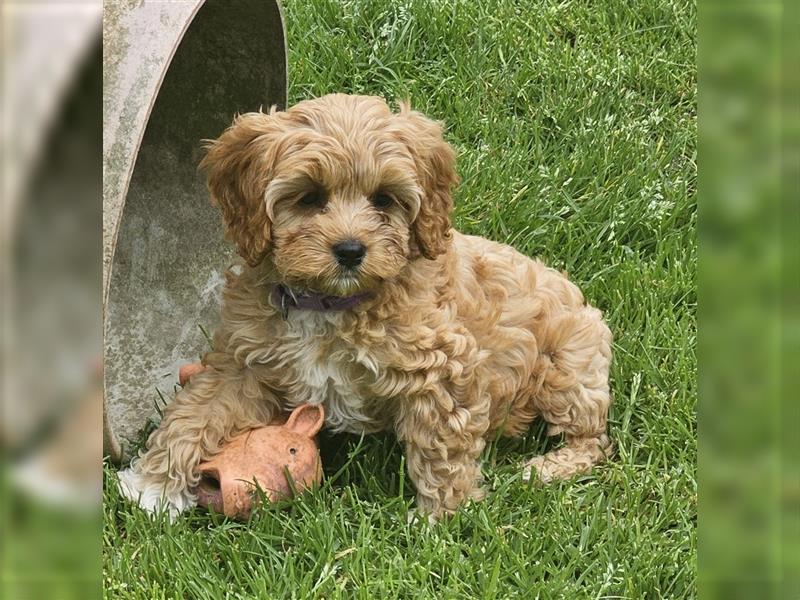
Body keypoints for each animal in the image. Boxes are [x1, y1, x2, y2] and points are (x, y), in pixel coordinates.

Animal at [117, 95, 612, 520]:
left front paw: (439, 521)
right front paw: (151, 487)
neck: (328, 303)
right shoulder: (241, 362)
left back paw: (543, 469)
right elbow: (196, 410)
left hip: (566, 368)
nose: (351, 250)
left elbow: (442, 449)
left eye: (383, 199)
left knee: (595, 439)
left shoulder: (444, 367)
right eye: (310, 196)